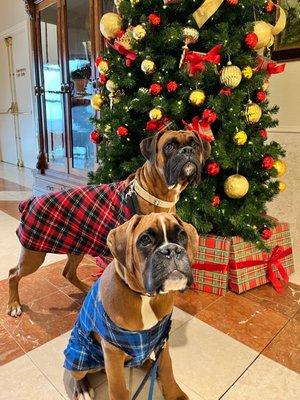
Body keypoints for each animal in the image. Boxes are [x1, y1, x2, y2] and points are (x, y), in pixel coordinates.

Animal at [6, 130, 209, 318]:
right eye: (170, 146)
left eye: (195, 145)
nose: (188, 150)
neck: (156, 196)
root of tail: (30, 202)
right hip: (33, 256)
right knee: (13, 273)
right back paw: (14, 304)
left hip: (76, 248)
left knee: (68, 272)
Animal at [63, 212, 197, 400]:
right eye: (145, 240)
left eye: (182, 235)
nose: (171, 250)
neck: (145, 297)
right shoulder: (112, 352)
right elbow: (117, 387)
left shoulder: (163, 341)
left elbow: (167, 368)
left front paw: (174, 394)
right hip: (78, 354)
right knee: (76, 373)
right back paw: (82, 389)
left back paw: (151, 367)